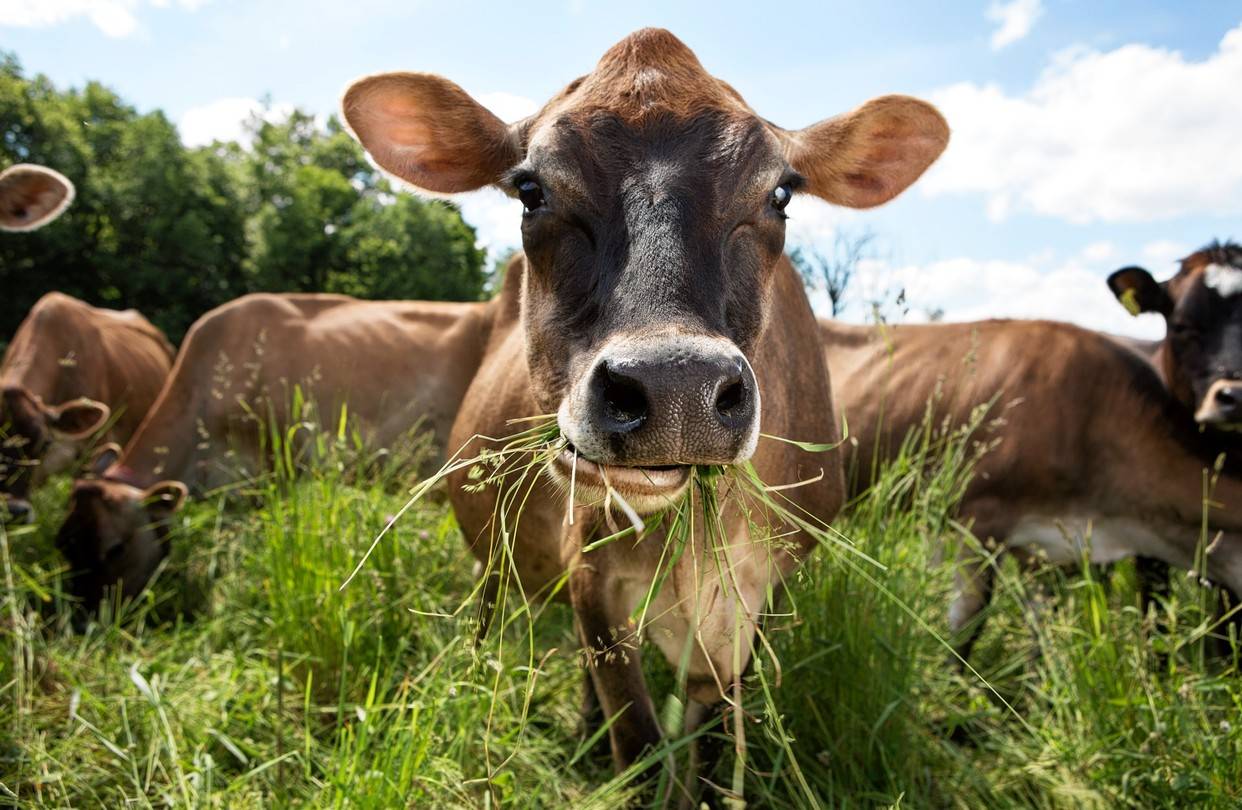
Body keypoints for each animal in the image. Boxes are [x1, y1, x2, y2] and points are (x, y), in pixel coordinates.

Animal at [340, 26, 938, 795]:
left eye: (780, 192)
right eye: (529, 189)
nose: (676, 387)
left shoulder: (757, 603)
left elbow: (707, 752)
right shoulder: (593, 578)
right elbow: (641, 747)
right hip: (493, 556)